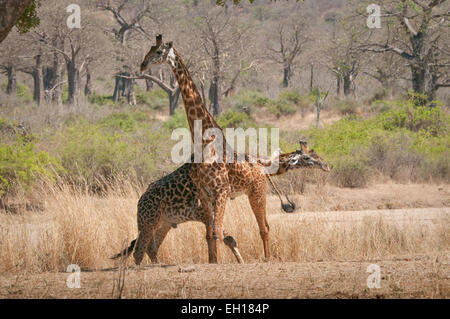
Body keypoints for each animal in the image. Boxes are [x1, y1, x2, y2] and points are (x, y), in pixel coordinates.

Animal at [111, 142, 330, 264]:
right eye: (308, 157)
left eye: (316, 154)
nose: (326, 166)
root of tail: (141, 199)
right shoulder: (248, 193)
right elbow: (254, 230)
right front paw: (265, 259)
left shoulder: (205, 212)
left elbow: (226, 237)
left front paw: (233, 262)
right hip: (147, 220)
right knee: (138, 250)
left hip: (164, 223)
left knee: (151, 247)